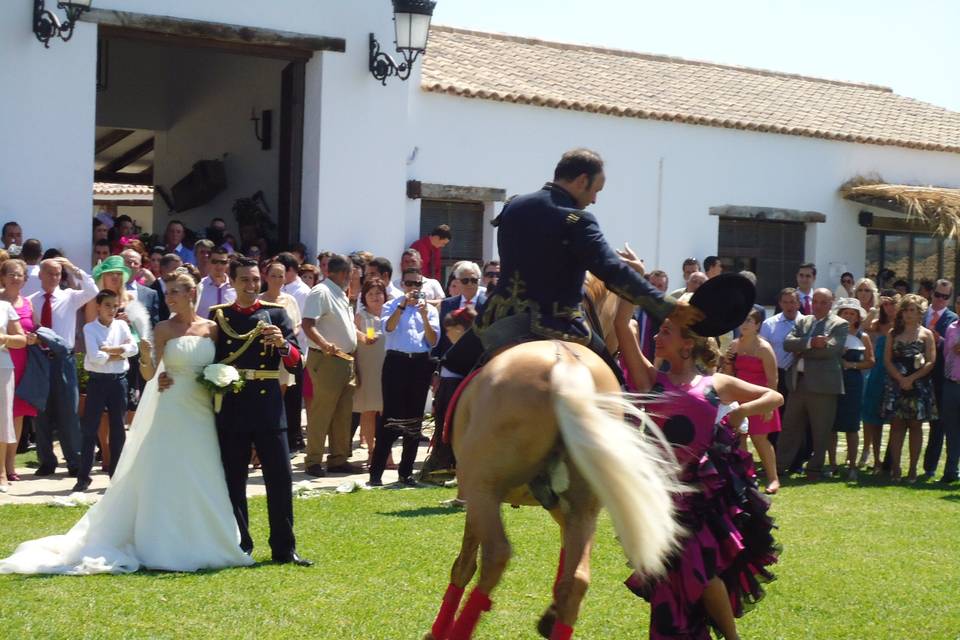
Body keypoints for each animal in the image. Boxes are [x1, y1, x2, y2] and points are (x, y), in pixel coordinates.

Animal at [422, 276, 684, 640]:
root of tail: (565, 366)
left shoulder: (475, 493)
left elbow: (463, 564)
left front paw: (438, 630)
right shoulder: (564, 503)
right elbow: (565, 562)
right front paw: (550, 615)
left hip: (483, 488)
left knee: (495, 556)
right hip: (584, 502)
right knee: (577, 581)